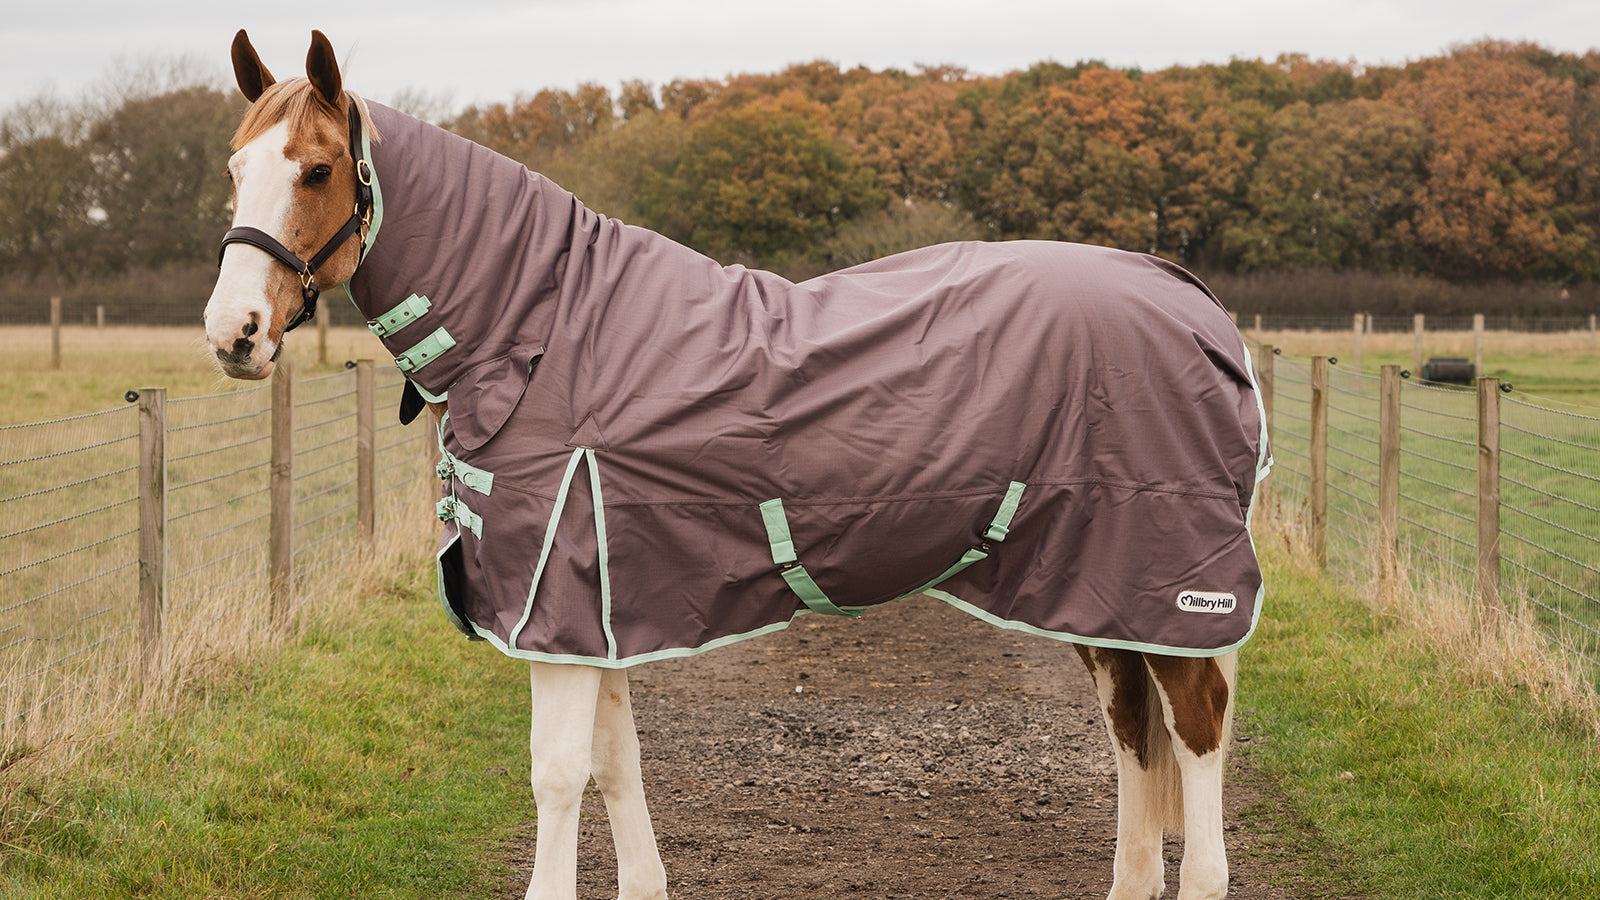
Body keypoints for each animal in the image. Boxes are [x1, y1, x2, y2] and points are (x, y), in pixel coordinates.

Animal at [204, 30, 1269, 900]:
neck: (545, 330)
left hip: (1173, 590)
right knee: (1132, 740)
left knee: (1197, 738)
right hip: (1099, 595)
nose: (234, 333)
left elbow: (559, 773)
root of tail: (1190, 300)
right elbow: (616, 763)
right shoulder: (600, 610)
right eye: (235, 167)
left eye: (317, 169)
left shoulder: (557, 608)